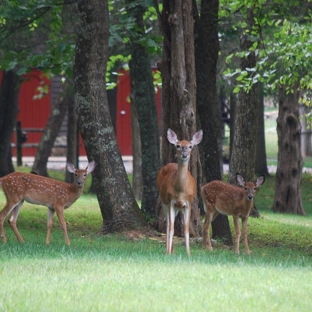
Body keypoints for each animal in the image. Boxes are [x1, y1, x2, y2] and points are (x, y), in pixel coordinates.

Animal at [157, 128, 204, 258]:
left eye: (190, 146)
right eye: (178, 145)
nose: (184, 154)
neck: (181, 191)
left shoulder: (188, 203)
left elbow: (186, 229)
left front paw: (188, 254)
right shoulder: (171, 201)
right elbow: (171, 228)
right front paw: (168, 252)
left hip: (179, 208)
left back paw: (172, 251)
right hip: (164, 201)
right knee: (168, 225)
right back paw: (168, 251)